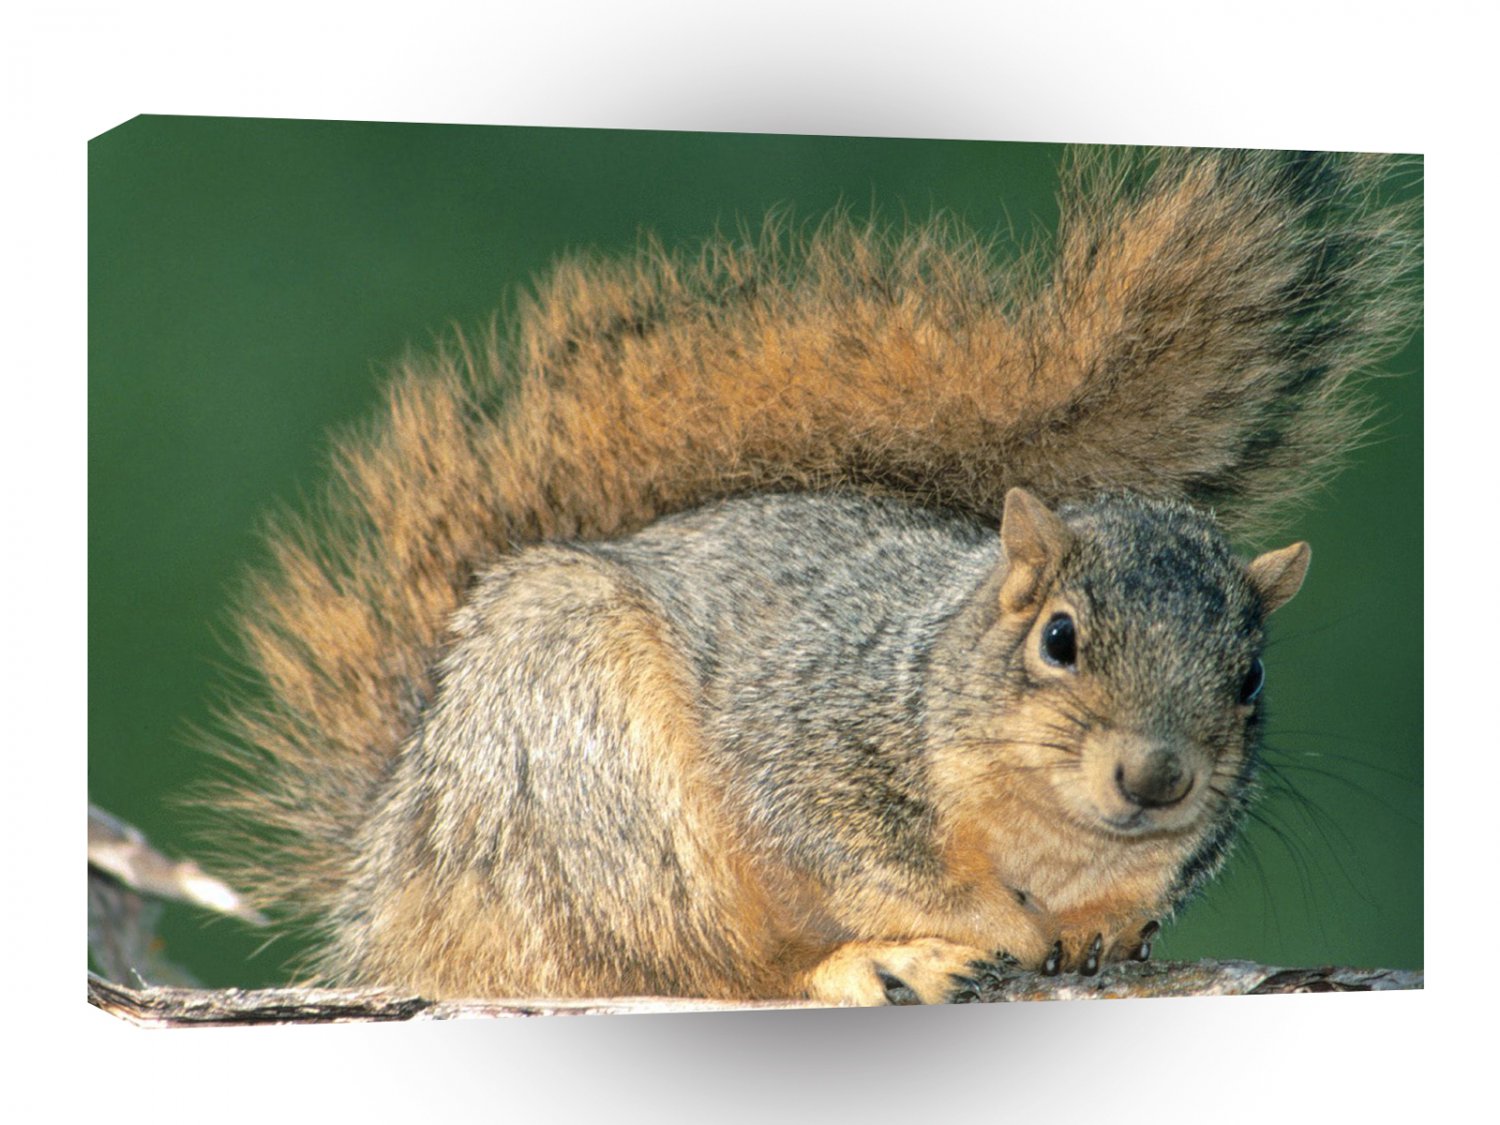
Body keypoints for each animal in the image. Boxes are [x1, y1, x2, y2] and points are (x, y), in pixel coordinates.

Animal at [201, 146, 1420, 1005]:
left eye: (1250, 678)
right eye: (1060, 637)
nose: (1157, 776)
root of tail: (392, 881)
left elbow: (1138, 889)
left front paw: (1105, 924)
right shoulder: (804, 745)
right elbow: (860, 855)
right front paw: (996, 924)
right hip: (595, 796)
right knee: (684, 970)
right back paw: (868, 966)